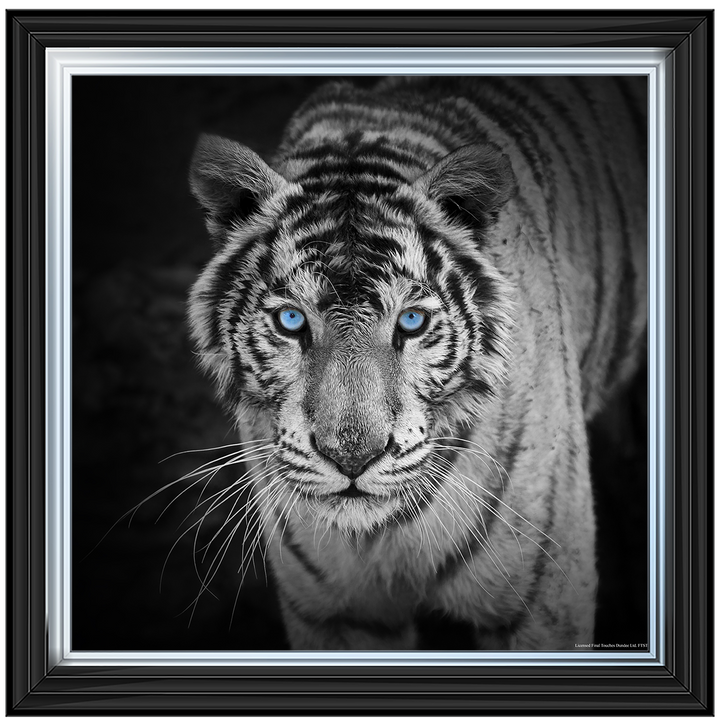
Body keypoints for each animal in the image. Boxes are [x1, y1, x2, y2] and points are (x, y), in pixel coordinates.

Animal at [186, 76, 647, 651]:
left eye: (410, 321)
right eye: (292, 320)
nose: (353, 458)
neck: (381, 536)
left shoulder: (541, 604)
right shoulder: (336, 614)